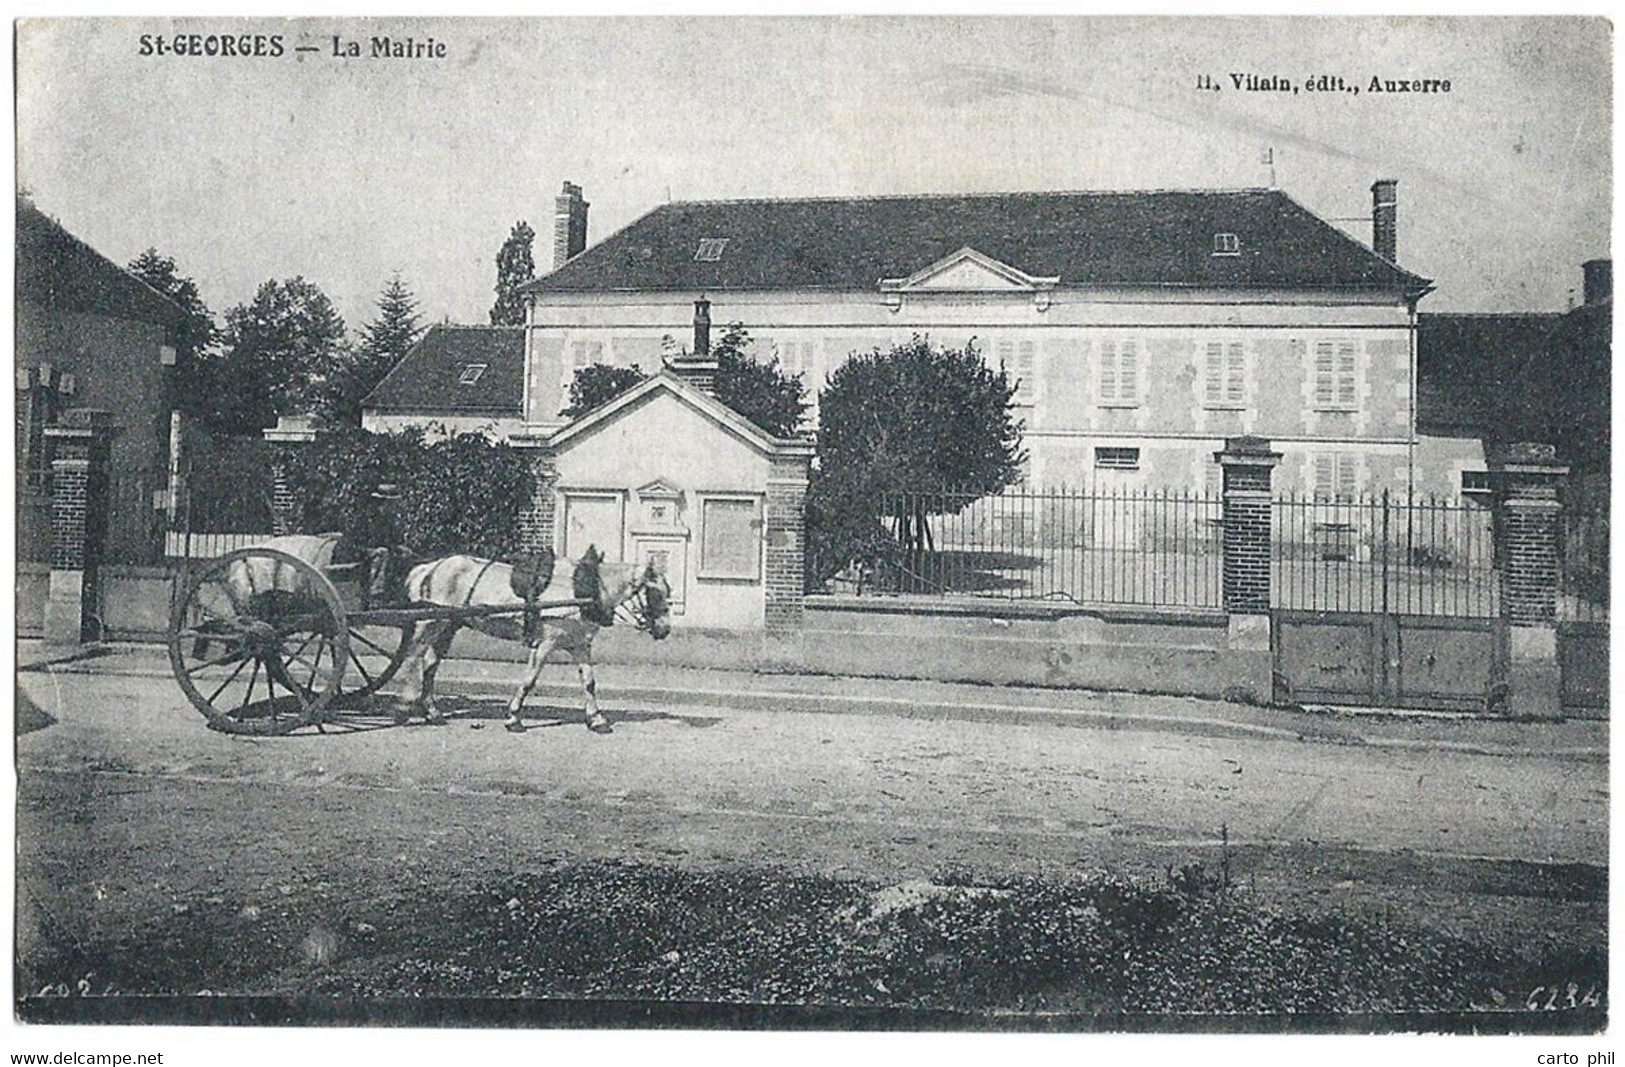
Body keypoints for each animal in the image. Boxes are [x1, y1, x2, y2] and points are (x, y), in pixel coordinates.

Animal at [390, 548, 669, 734]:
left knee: (430, 663)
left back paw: (432, 712)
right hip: (429, 621)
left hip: (448, 624)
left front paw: (597, 720)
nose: (664, 630)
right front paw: (514, 717)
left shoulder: (580, 645)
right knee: (413, 656)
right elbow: (530, 679)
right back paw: (403, 707)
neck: (581, 590)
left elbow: (589, 682)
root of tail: (430, 567)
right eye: (655, 592)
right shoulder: (545, 643)